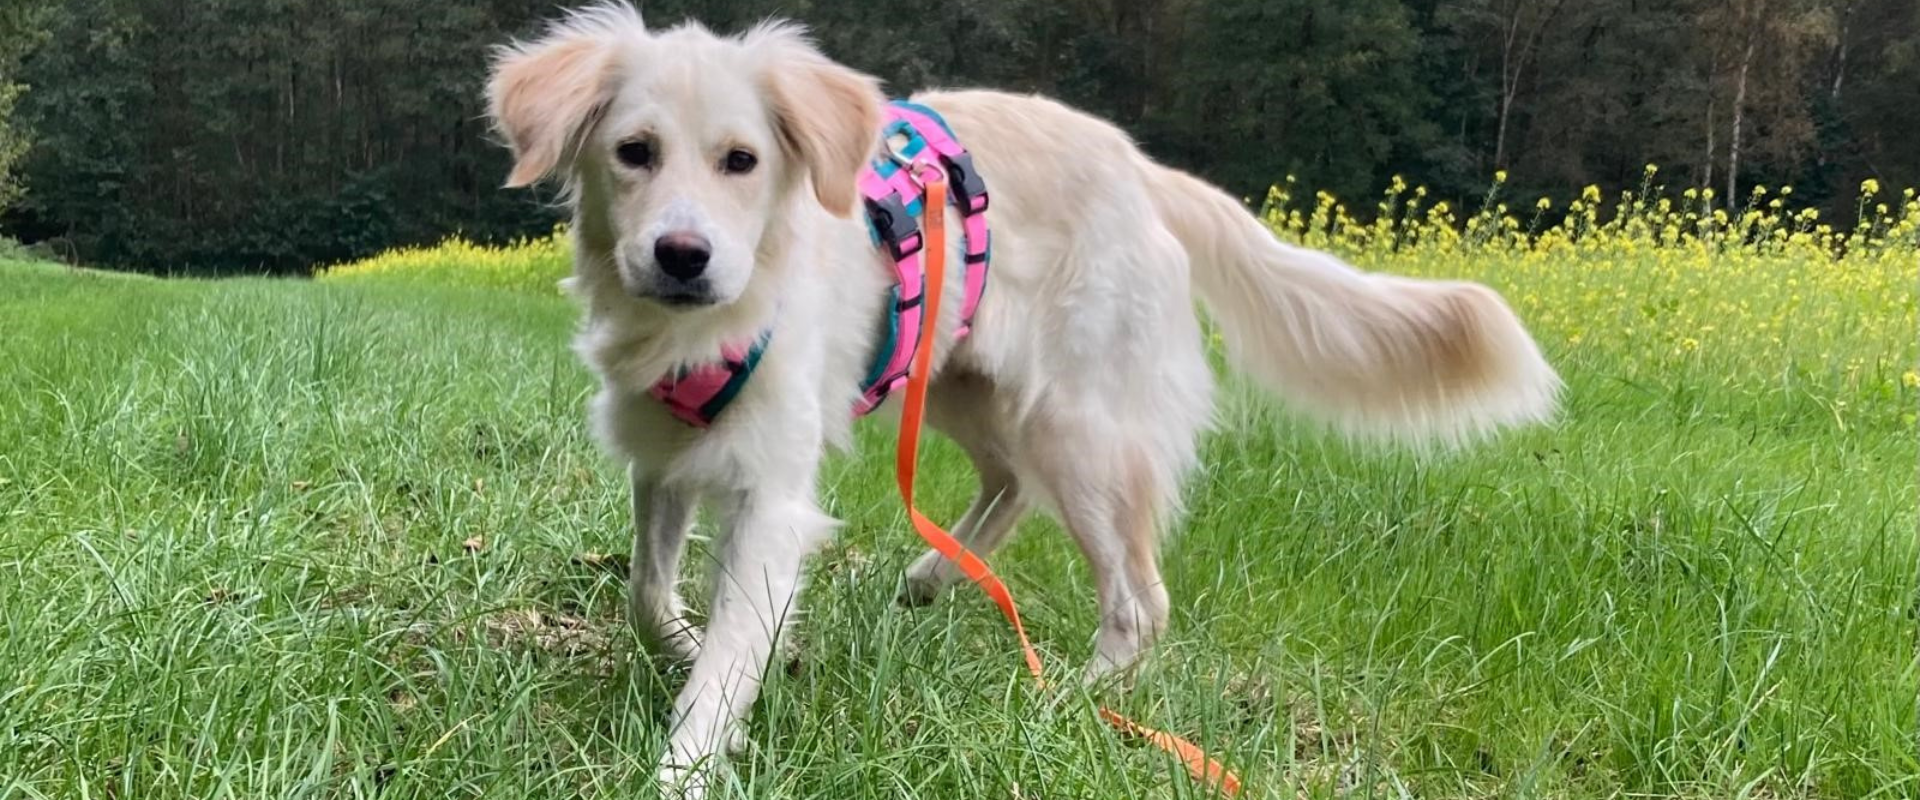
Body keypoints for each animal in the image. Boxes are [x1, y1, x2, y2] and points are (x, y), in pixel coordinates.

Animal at [485, 5, 1559, 794]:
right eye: (634, 151)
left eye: (741, 161)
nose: (682, 255)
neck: (701, 330)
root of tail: (1142, 170)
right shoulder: (662, 453)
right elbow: (645, 589)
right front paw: (680, 644)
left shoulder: (770, 495)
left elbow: (723, 664)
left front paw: (688, 761)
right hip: (955, 376)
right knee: (1007, 485)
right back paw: (932, 577)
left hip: (1078, 428)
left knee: (1138, 598)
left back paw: (1064, 704)